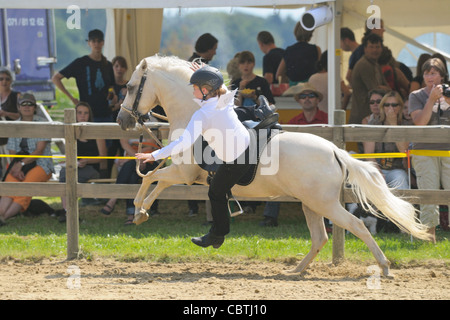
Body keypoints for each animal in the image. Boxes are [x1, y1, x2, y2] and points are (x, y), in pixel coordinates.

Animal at [118, 54, 430, 276]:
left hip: (325, 205)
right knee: (320, 238)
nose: (122, 120)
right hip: (311, 204)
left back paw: (384, 267)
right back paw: (296, 270)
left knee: (356, 227)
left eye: (131, 87)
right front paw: (142, 212)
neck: (193, 111)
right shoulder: (183, 174)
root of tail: (334, 151)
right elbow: (155, 180)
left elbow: (150, 178)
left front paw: (139, 209)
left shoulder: (183, 172)